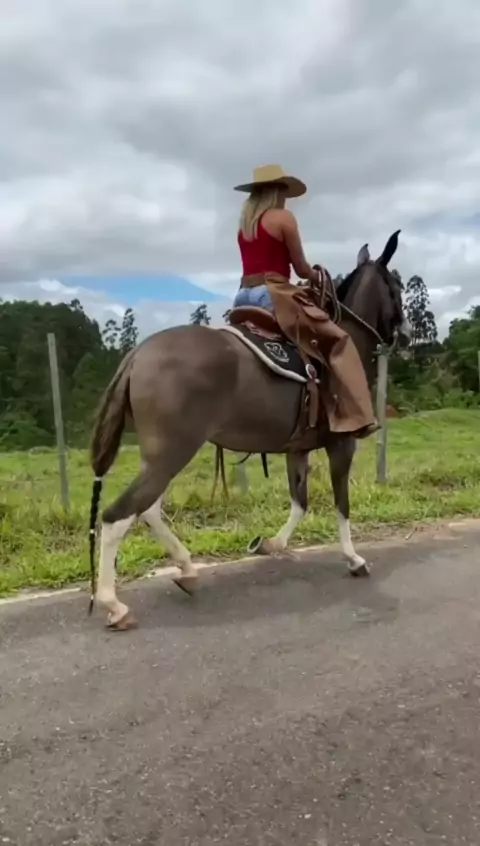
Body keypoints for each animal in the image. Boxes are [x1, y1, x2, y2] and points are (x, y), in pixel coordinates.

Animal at [88, 230, 411, 630]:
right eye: (397, 287)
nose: (407, 334)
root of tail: (139, 354)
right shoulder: (341, 444)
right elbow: (341, 503)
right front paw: (354, 559)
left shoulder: (297, 448)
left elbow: (299, 501)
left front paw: (272, 544)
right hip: (173, 451)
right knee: (118, 516)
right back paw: (113, 604)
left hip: (164, 455)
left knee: (147, 510)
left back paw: (186, 570)